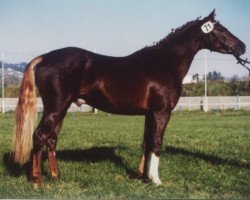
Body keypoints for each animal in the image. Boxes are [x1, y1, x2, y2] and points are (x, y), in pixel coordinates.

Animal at [11, 10, 246, 187]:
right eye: (221, 29)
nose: (242, 46)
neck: (164, 62)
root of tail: (44, 57)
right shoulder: (162, 112)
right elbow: (157, 143)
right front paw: (156, 180)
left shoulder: (149, 114)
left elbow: (146, 143)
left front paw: (142, 175)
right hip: (56, 108)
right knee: (39, 136)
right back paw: (37, 180)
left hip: (61, 109)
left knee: (51, 139)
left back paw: (56, 176)